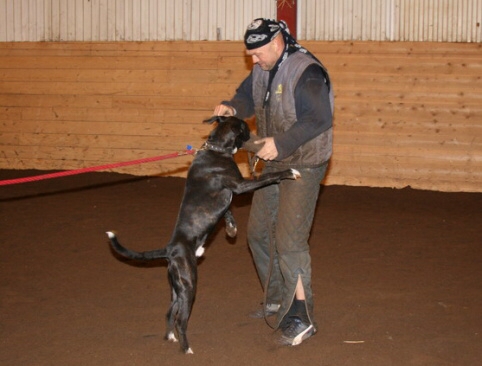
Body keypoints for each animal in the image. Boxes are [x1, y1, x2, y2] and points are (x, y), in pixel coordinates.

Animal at [107, 116, 300, 354]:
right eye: (244, 128)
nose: (252, 134)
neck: (216, 149)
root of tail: (171, 249)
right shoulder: (240, 185)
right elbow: (270, 176)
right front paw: (289, 172)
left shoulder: (230, 195)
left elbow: (227, 211)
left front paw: (231, 228)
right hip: (189, 284)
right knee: (181, 319)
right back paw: (186, 349)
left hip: (177, 289)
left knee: (169, 312)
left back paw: (170, 337)